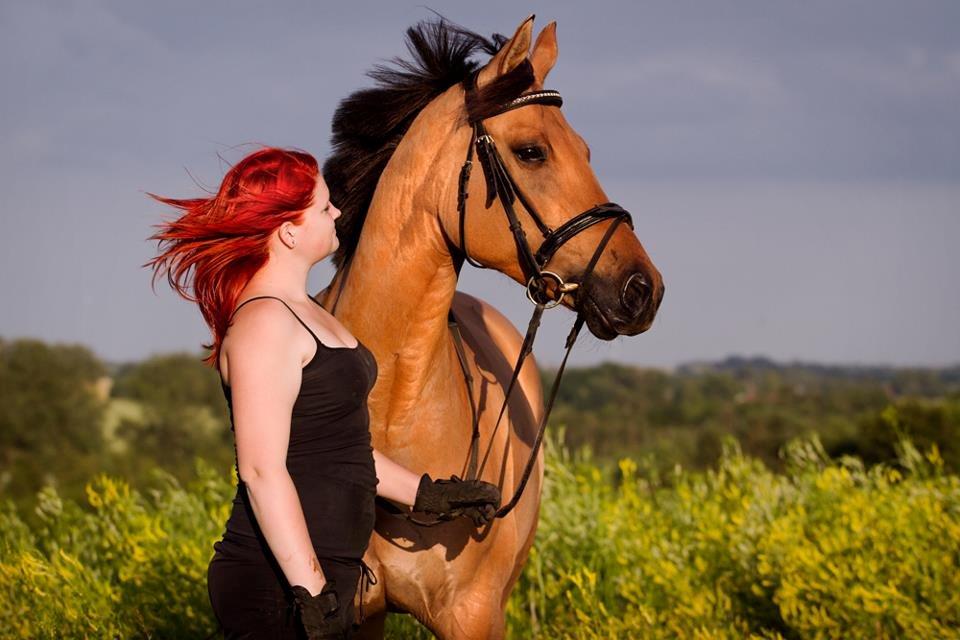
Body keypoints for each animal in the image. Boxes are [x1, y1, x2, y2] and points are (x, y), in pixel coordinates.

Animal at [318, 15, 664, 640]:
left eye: (586, 150)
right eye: (532, 152)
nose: (643, 289)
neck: (391, 410)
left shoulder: (473, 615)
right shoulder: (351, 615)